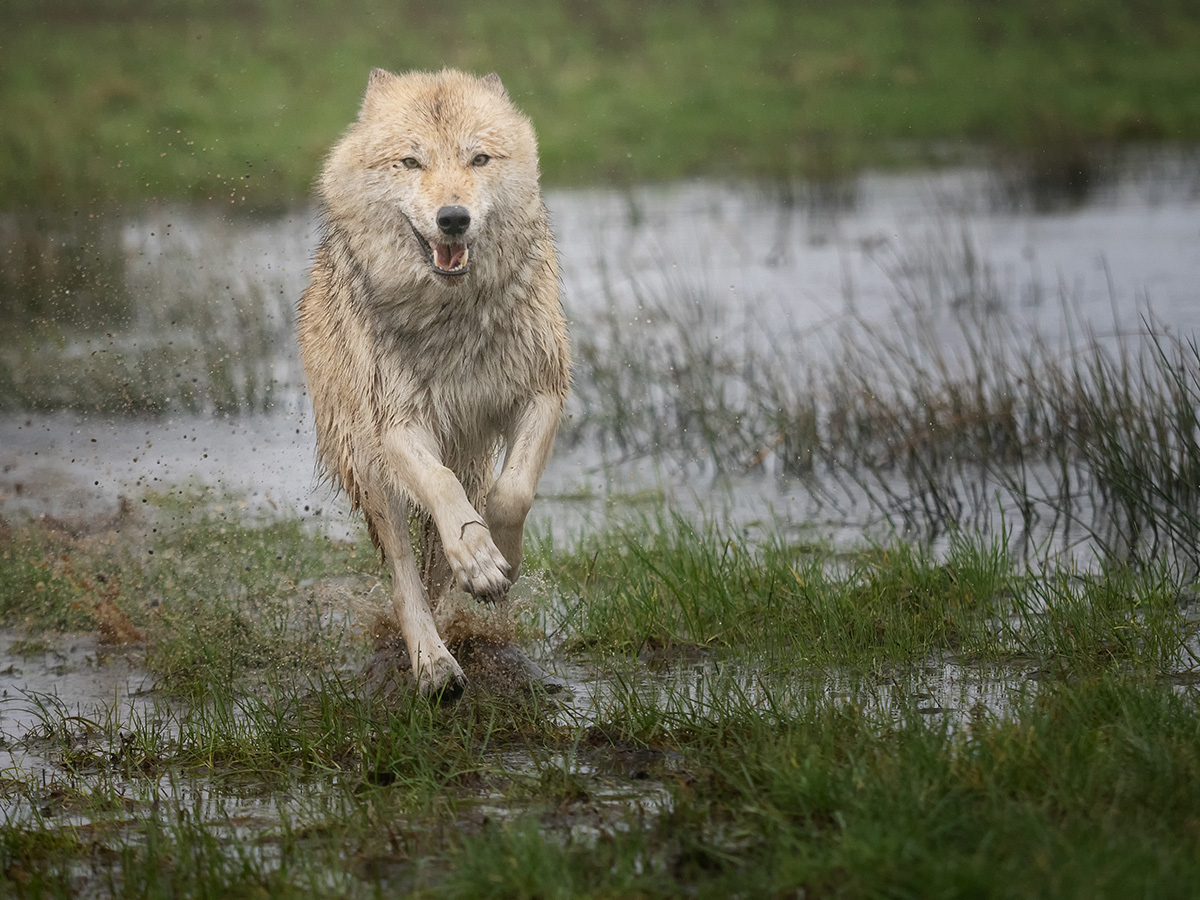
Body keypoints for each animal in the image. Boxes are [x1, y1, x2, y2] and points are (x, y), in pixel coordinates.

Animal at [295, 68, 566, 705]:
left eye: (479, 158)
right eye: (411, 162)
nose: (453, 219)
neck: (452, 315)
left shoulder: (542, 392)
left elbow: (511, 494)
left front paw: (498, 562)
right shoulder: (397, 426)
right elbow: (442, 491)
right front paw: (479, 559)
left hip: (466, 451)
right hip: (374, 476)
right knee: (405, 581)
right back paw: (434, 667)